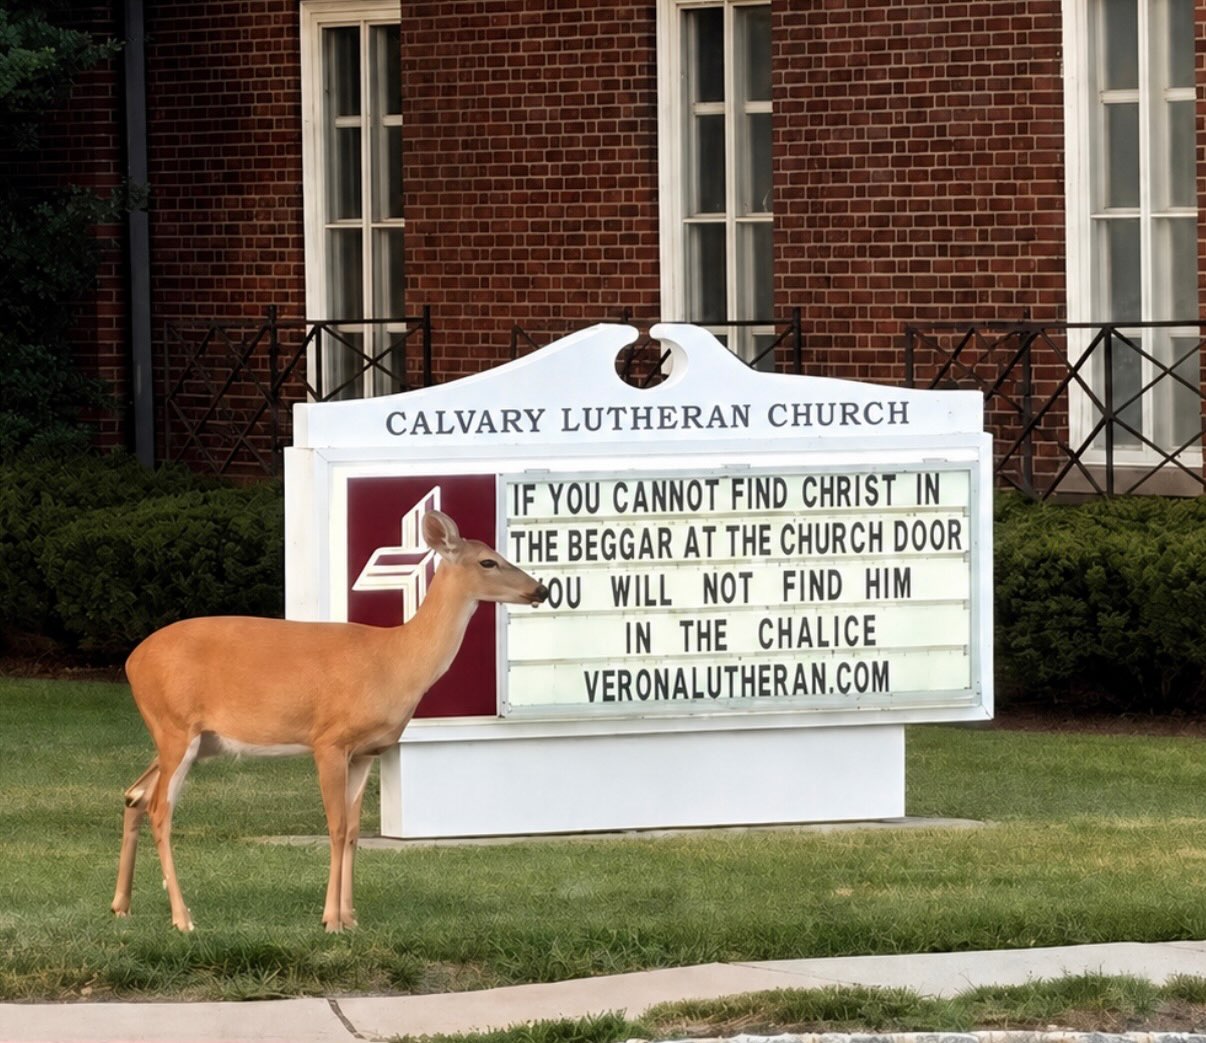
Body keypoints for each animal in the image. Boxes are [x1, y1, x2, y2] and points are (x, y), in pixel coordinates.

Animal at [111, 510, 548, 932]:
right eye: (488, 561)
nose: (541, 590)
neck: (397, 661)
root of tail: (131, 662)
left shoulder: (367, 751)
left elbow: (353, 831)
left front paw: (351, 918)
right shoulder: (330, 741)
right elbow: (336, 828)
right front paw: (331, 921)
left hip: (196, 740)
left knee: (135, 795)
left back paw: (121, 906)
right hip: (175, 727)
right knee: (159, 809)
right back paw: (182, 918)